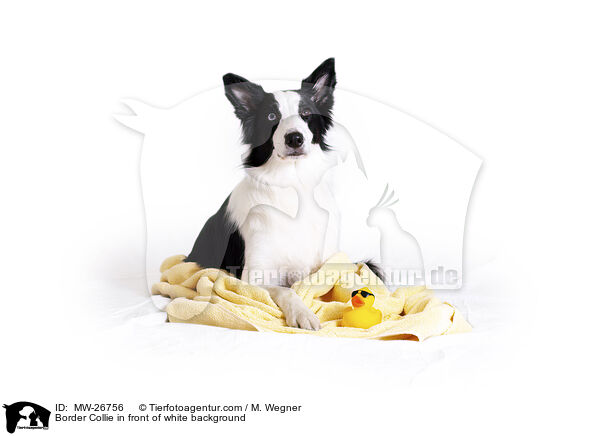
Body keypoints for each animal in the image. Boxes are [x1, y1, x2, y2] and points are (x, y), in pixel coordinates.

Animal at [188, 58, 356, 330]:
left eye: (306, 113)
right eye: (271, 116)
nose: (294, 138)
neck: (294, 186)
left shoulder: (327, 262)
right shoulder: (252, 277)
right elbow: (285, 290)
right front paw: (302, 313)